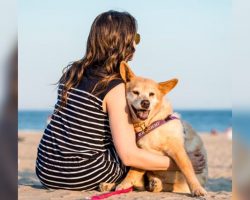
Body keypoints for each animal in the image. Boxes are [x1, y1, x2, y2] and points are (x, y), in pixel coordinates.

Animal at [98, 61, 208, 197]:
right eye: (135, 92)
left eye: (151, 94)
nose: (145, 103)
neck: (150, 124)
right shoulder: (142, 153)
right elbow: (133, 171)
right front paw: (123, 184)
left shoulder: (178, 150)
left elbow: (187, 169)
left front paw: (197, 189)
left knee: (165, 186)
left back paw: (155, 184)